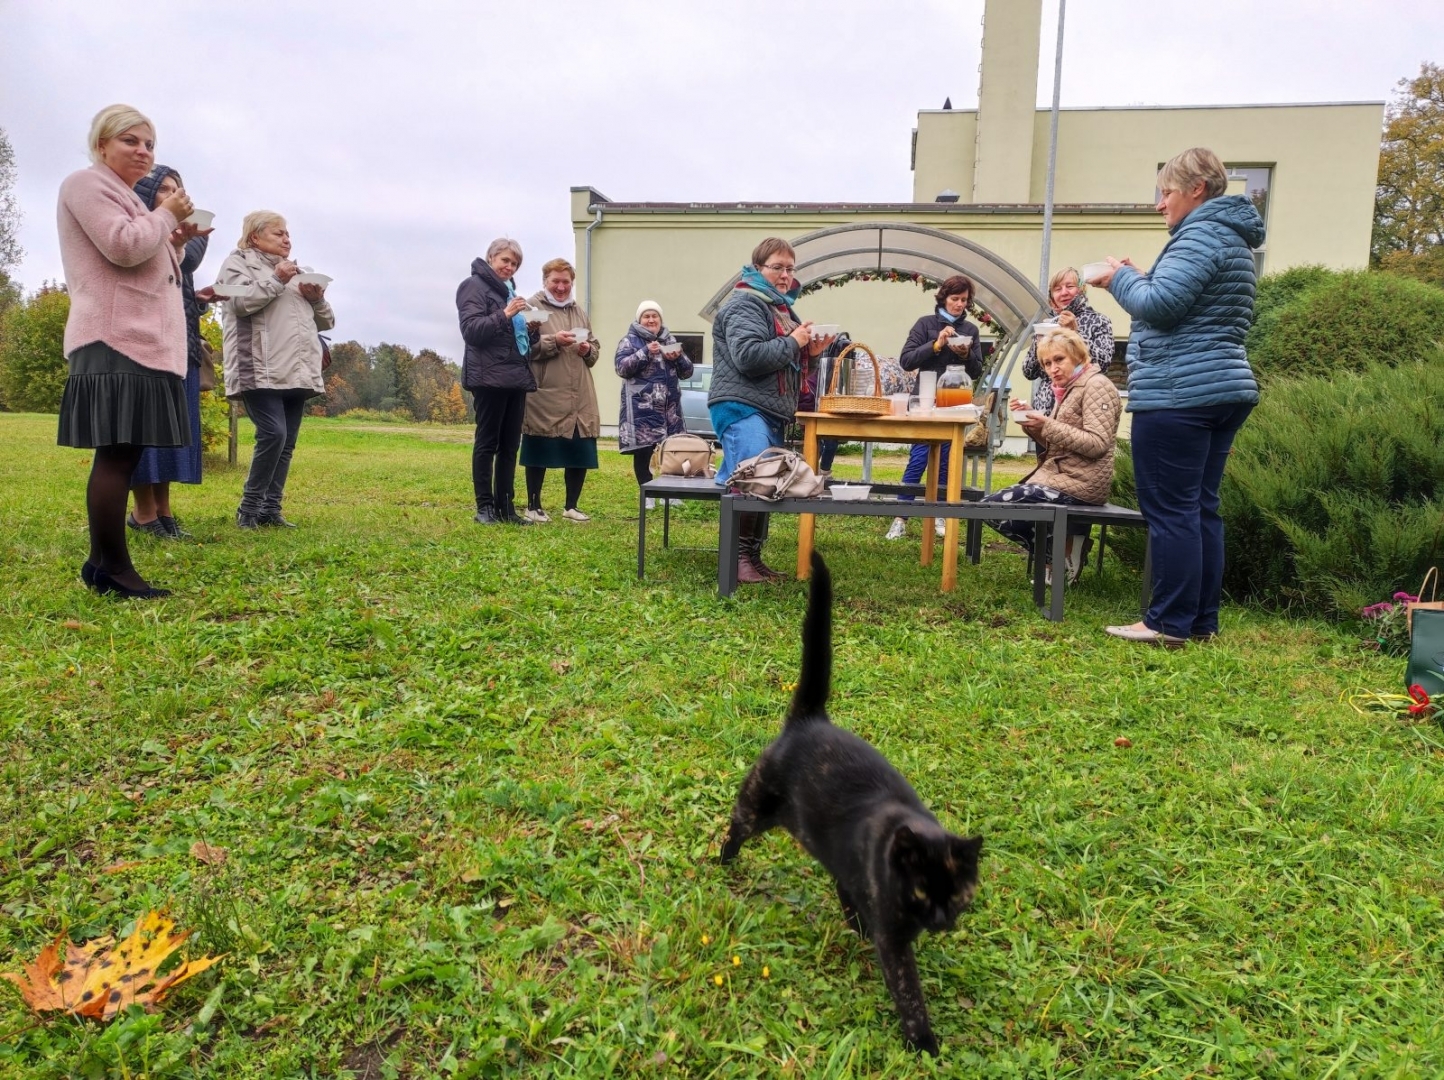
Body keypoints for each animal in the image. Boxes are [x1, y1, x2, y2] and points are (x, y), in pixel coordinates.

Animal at [719, 548, 981, 1056]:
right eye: (923, 892)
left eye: (957, 895)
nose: (940, 921)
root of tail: (810, 720)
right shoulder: (894, 942)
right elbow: (908, 991)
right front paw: (924, 1042)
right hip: (758, 803)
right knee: (737, 825)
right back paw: (724, 861)